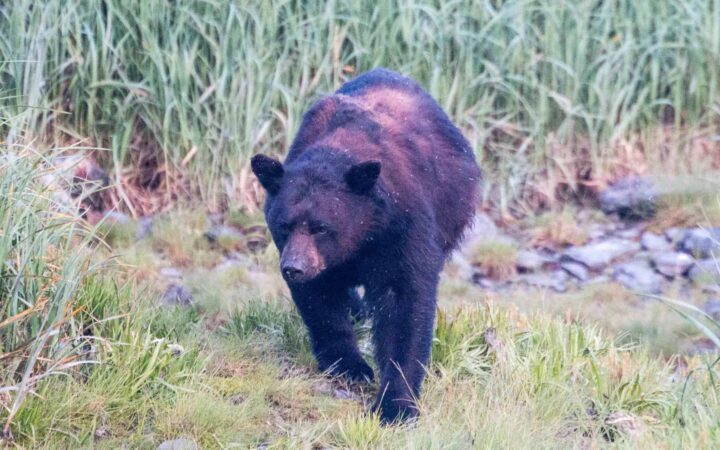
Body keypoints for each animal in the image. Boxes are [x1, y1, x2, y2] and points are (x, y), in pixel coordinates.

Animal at [251, 68, 481, 423]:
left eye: (321, 227)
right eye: (284, 225)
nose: (294, 268)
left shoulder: (401, 228)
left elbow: (403, 303)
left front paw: (395, 405)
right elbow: (321, 303)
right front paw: (350, 366)